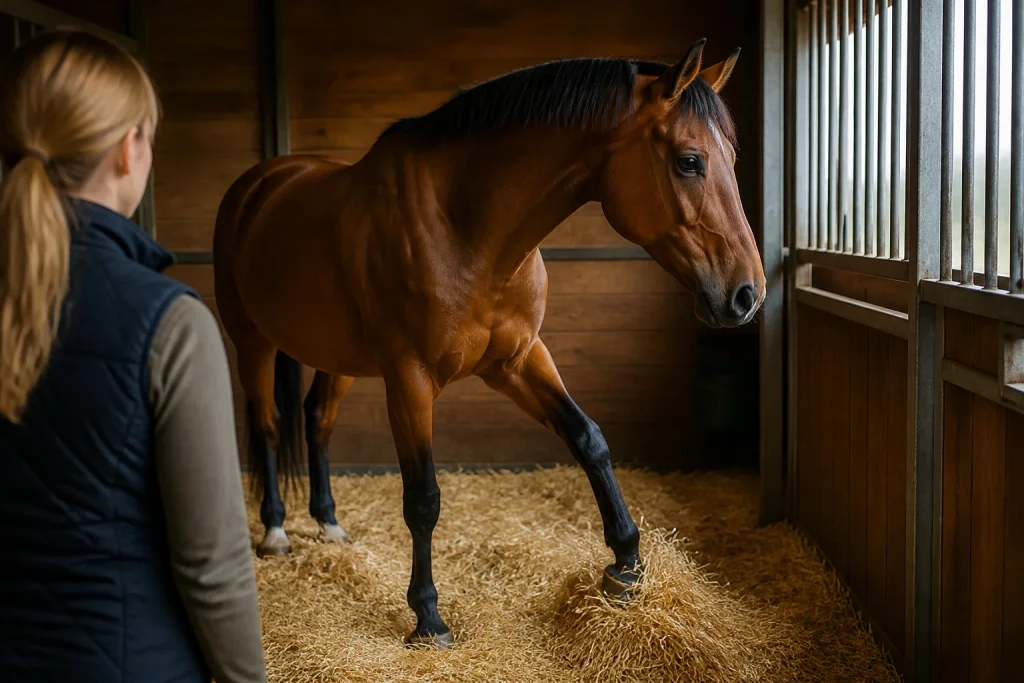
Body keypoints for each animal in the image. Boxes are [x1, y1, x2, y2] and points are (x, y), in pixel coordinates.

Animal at [213, 38, 765, 649]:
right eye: (689, 161)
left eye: (731, 158)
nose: (747, 294)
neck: (465, 226)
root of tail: (260, 183)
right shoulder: (409, 380)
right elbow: (423, 497)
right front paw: (428, 617)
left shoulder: (520, 359)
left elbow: (589, 439)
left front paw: (626, 567)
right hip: (252, 342)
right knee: (267, 425)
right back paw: (276, 531)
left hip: (337, 358)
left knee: (316, 421)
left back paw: (329, 523)